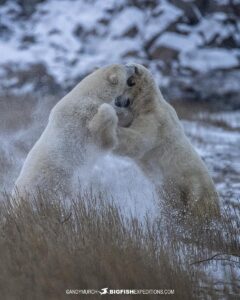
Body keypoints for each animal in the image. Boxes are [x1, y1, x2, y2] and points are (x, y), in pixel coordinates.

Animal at [14, 63, 135, 197]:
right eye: (124, 66)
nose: (134, 67)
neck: (92, 94)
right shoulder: (81, 116)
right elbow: (100, 132)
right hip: (50, 181)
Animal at [113, 63, 220, 219]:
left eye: (129, 82)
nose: (117, 101)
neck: (149, 102)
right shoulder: (136, 114)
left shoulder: (156, 119)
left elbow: (139, 140)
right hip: (167, 191)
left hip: (192, 187)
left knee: (195, 207)